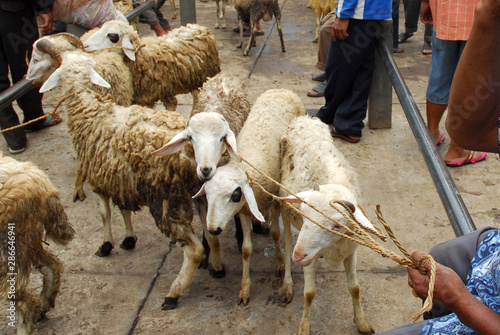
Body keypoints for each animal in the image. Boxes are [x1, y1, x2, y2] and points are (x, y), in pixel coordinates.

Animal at [37, 51, 206, 312]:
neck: (88, 108)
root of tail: (189, 146)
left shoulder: (98, 178)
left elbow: (104, 213)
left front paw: (106, 245)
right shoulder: (119, 179)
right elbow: (124, 209)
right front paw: (128, 239)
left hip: (166, 198)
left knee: (194, 250)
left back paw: (173, 293)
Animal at [83, 19, 220, 111]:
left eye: (112, 36)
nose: (85, 45)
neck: (143, 59)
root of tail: (197, 26)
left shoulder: (167, 93)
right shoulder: (144, 99)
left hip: (203, 77)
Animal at [193, 88, 306, 306]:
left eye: (234, 194)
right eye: (208, 196)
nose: (213, 229)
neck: (246, 166)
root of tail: (281, 89)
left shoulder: (274, 200)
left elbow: (276, 234)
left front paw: (280, 263)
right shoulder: (244, 210)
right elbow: (246, 249)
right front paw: (245, 289)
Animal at [280, 115, 374, 334]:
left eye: (337, 225)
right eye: (304, 214)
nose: (298, 256)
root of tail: (304, 118)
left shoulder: (351, 250)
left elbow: (355, 288)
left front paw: (362, 321)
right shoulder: (310, 257)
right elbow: (309, 293)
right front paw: (304, 327)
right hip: (285, 214)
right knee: (287, 243)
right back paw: (287, 284)